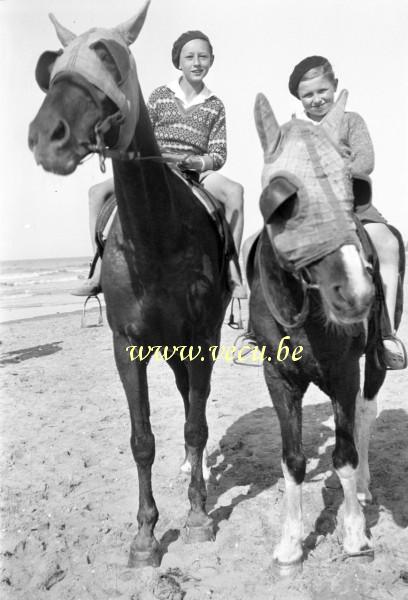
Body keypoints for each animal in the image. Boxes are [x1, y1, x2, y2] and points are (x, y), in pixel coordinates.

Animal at [245, 92, 388, 572]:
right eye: (283, 202)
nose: (357, 293)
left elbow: (344, 454)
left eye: (352, 188)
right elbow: (292, 459)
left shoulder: (344, 373)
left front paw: (355, 531)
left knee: (365, 415)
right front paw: (291, 541)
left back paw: (363, 486)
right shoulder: (279, 379)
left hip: (375, 361)